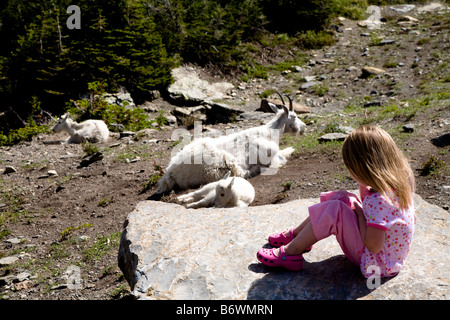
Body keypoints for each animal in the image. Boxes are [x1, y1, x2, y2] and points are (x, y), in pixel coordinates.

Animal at [155, 94, 306, 194]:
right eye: (294, 116)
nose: (304, 128)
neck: (270, 132)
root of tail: (170, 173)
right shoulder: (268, 153)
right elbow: (278, 158)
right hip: (221, 164)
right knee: (241, 173)